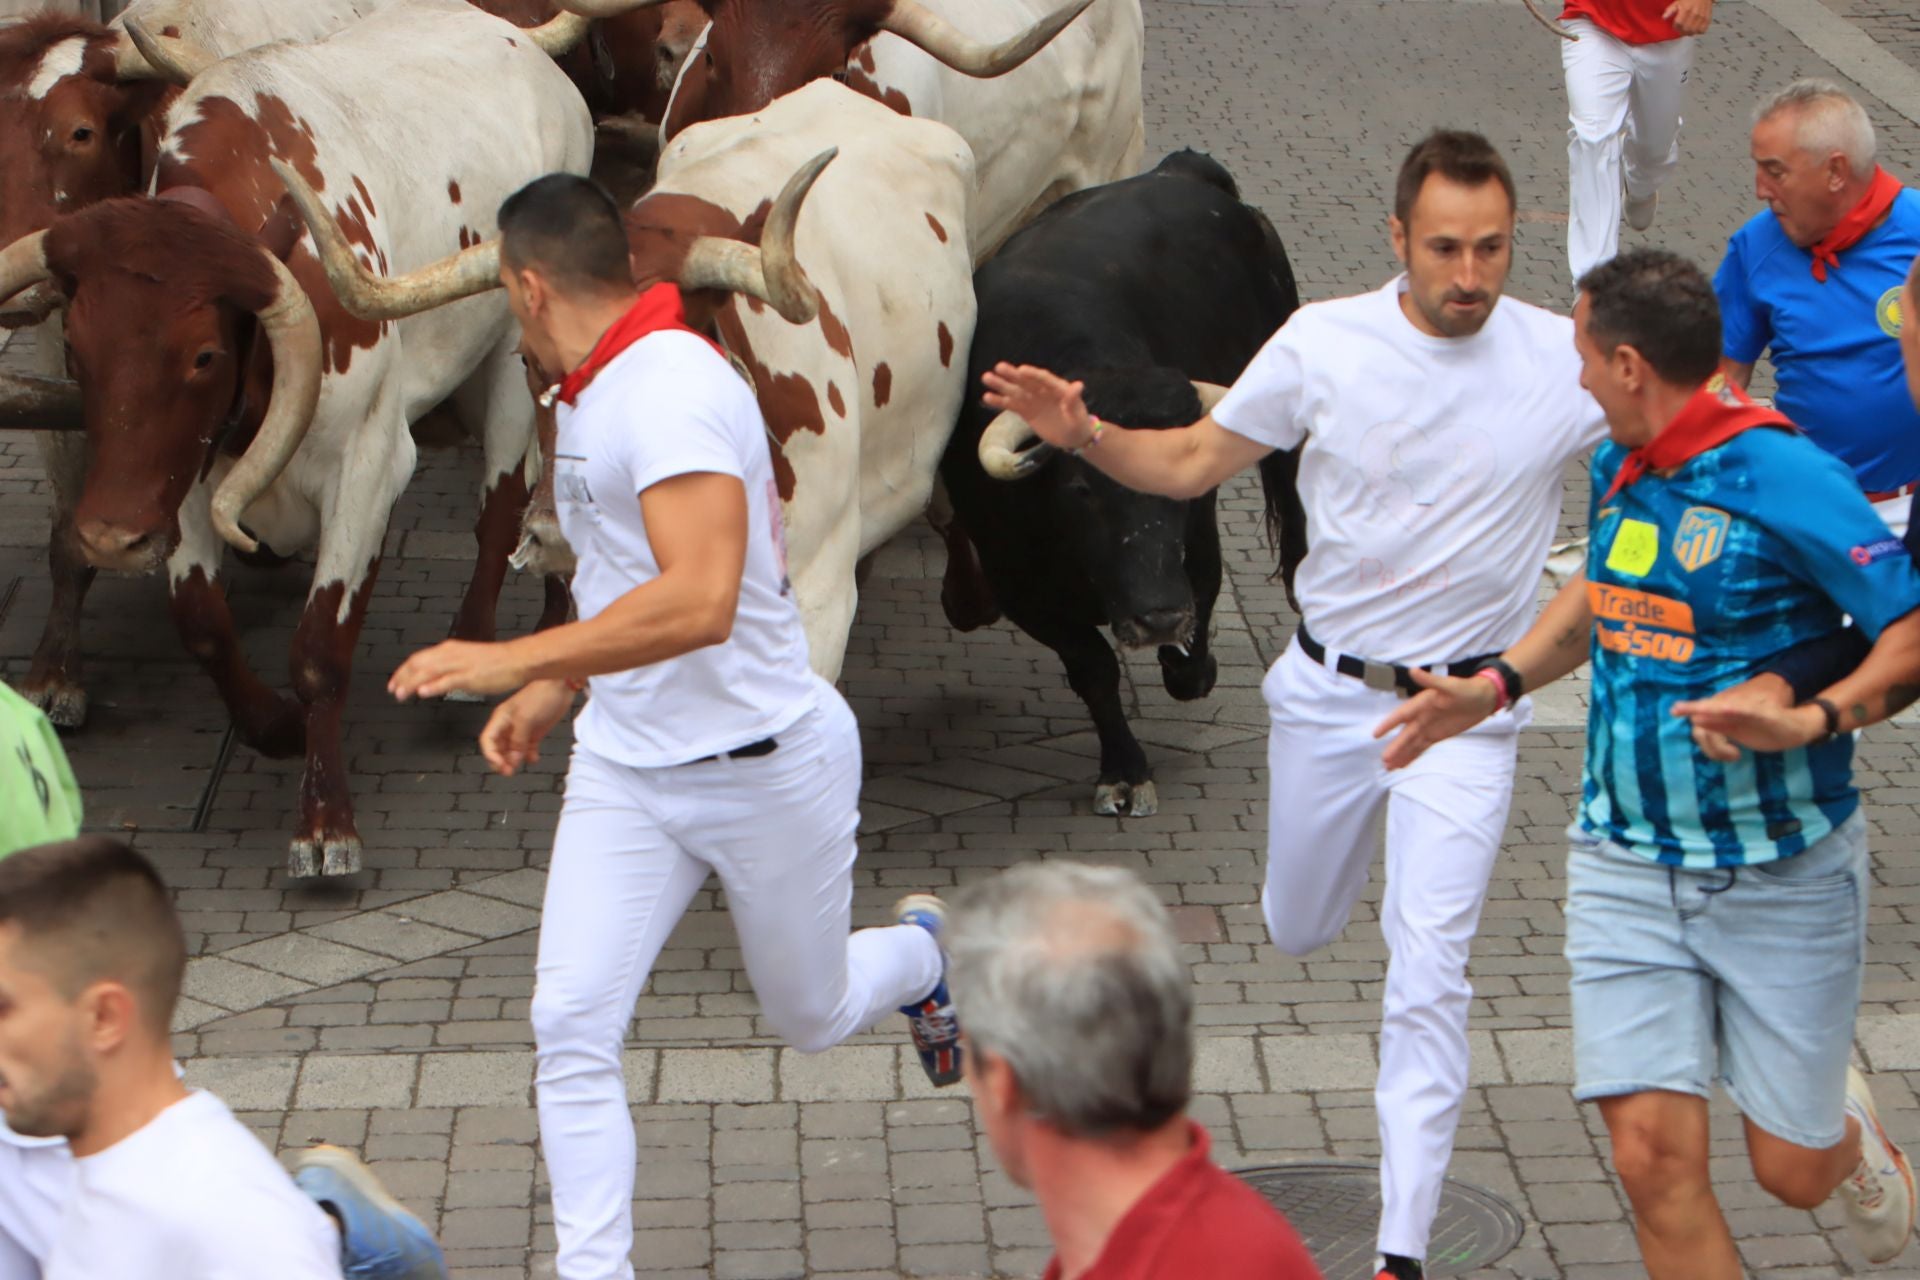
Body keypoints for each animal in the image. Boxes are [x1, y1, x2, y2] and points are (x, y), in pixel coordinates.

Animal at [933, 144, 1305, 817]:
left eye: (1175, 486)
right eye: (1082, 489)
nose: (1157, 618)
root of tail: (1182, 170)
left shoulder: (1197, 543)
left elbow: (1199, 617)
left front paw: (1192, 667)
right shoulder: (1019, 583)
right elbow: (1094, 668)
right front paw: (1125, 771)